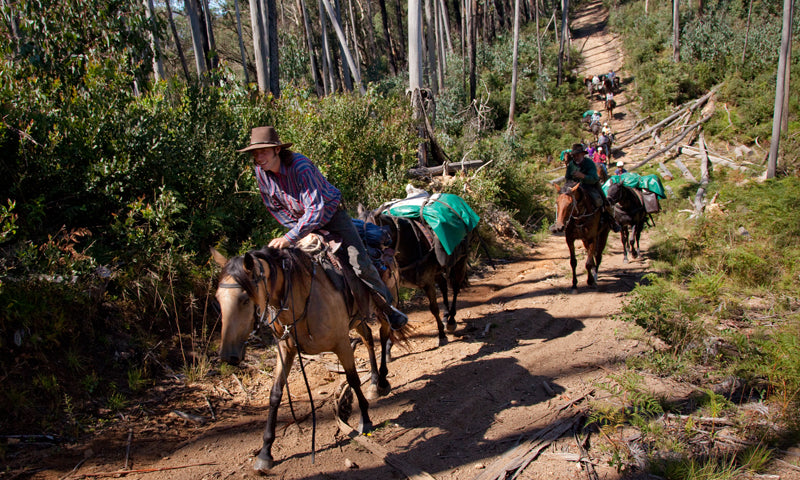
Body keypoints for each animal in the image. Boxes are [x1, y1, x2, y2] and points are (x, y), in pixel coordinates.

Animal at [211, 244, 406, 472]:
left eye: (243, 299)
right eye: (217, 298)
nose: (228, 355)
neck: (301, 297)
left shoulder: (342, 344)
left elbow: (353, 380)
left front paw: (365, 420)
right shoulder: (285, 350)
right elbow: (275, 394)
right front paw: (265, 452)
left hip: (383, 309)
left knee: (384, 334)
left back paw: (382, 381)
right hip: (358, 319)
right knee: (367, 338)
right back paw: (374, 381)